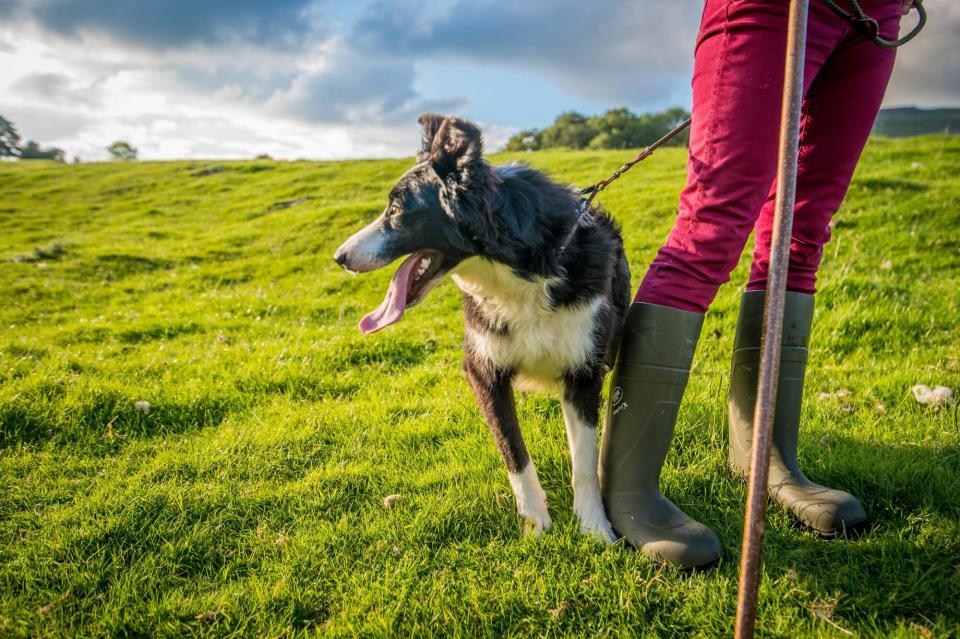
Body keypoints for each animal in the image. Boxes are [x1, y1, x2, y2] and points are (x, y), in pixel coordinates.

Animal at [336, 116, 632, 544]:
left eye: (397, 208)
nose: (339, 256)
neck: (516, 274)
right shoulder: (484, 369)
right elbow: (514, 451)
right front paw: (536, 527)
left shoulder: (584, 370)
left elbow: (585, 462)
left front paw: (595, 529)